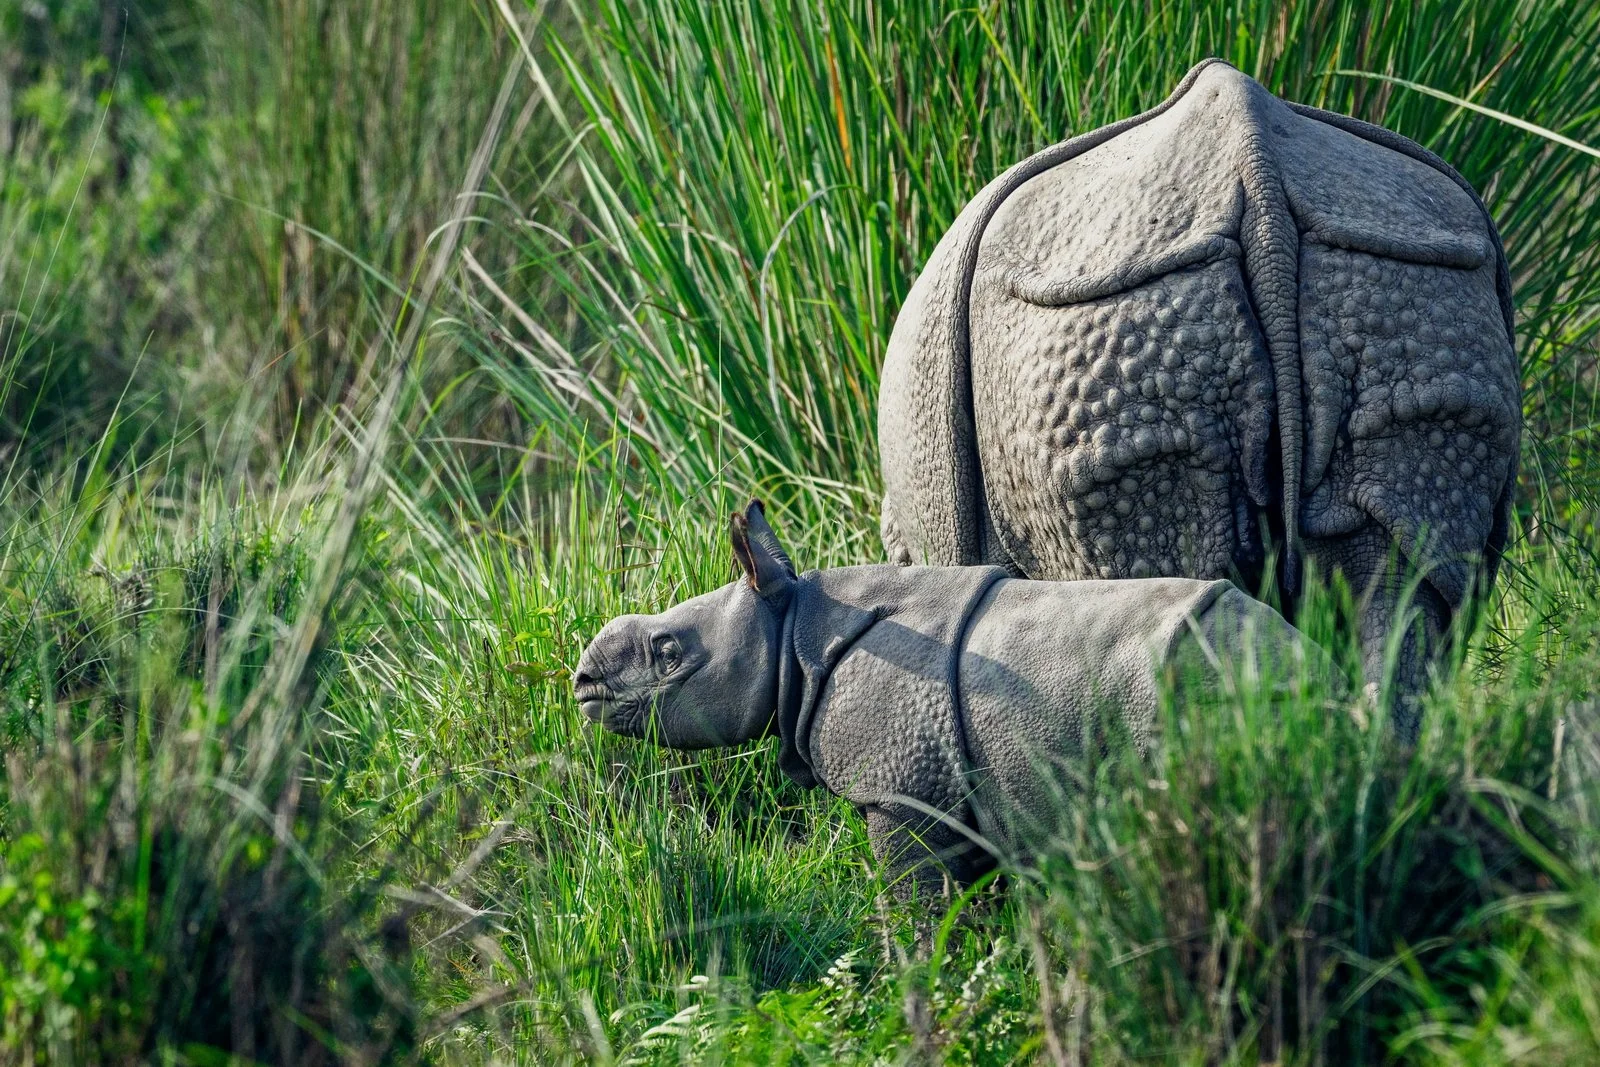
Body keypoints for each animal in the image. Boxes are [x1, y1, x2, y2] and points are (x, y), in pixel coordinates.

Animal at [573, 501, 1325, 899]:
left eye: (669, 651)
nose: (581, 681)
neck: (792, 631)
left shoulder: (903, 788)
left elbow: (915, 907)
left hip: (1199, 694)